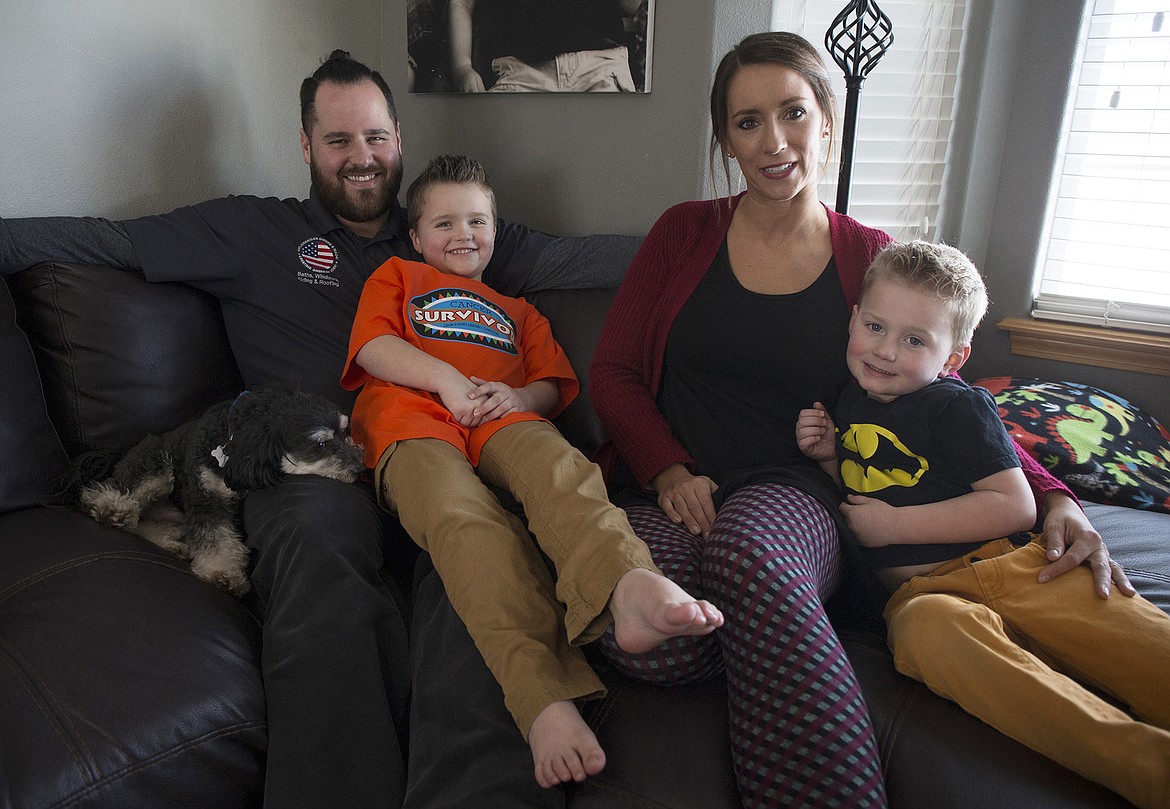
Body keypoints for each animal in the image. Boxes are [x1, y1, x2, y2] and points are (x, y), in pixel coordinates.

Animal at [80, 386, 362, 594]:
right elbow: (215, 536)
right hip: (157, 464)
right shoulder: (206, 495)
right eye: (320, 445)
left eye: (345, 432)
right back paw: (112, 509)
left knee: (146, 523)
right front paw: (223, 573)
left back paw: (173, 544)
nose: (361, 469)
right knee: (112, 491)